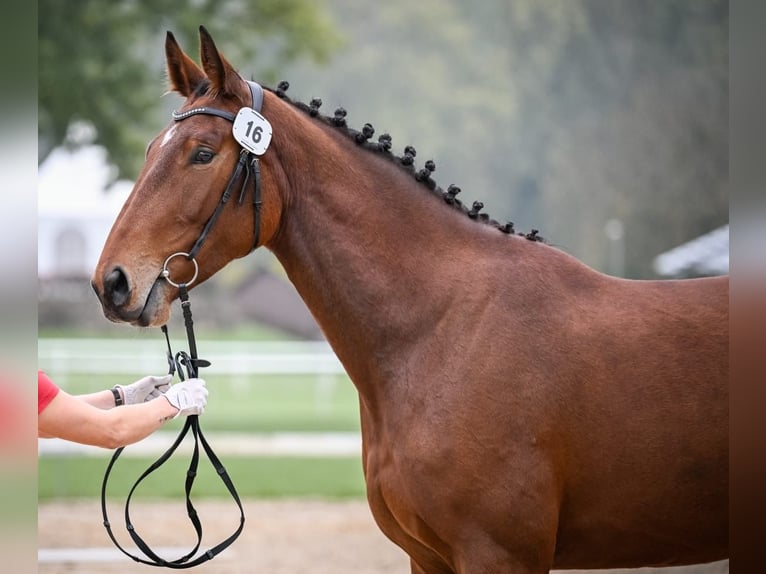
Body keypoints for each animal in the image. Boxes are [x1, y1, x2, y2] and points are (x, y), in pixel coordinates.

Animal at [91, 27, 728, 573]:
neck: (443, 330)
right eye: (150, 148)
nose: (112, 283)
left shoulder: (499, 555)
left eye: (201, 154)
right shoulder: (430, 558)